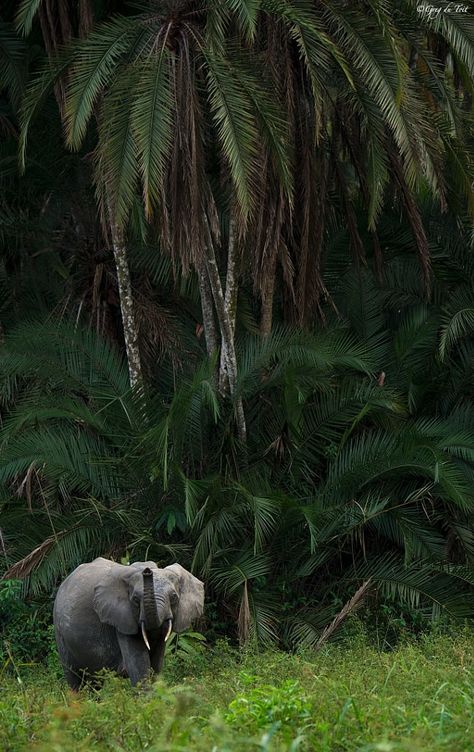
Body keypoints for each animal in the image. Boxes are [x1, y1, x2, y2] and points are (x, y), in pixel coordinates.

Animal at [53, 560, 204, 688]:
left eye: (173, 597)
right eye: (135, 599)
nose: (147, 571)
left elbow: (156, 664)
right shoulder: (122, 620)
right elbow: (138, 665)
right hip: (59, 631)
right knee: (74, 678)